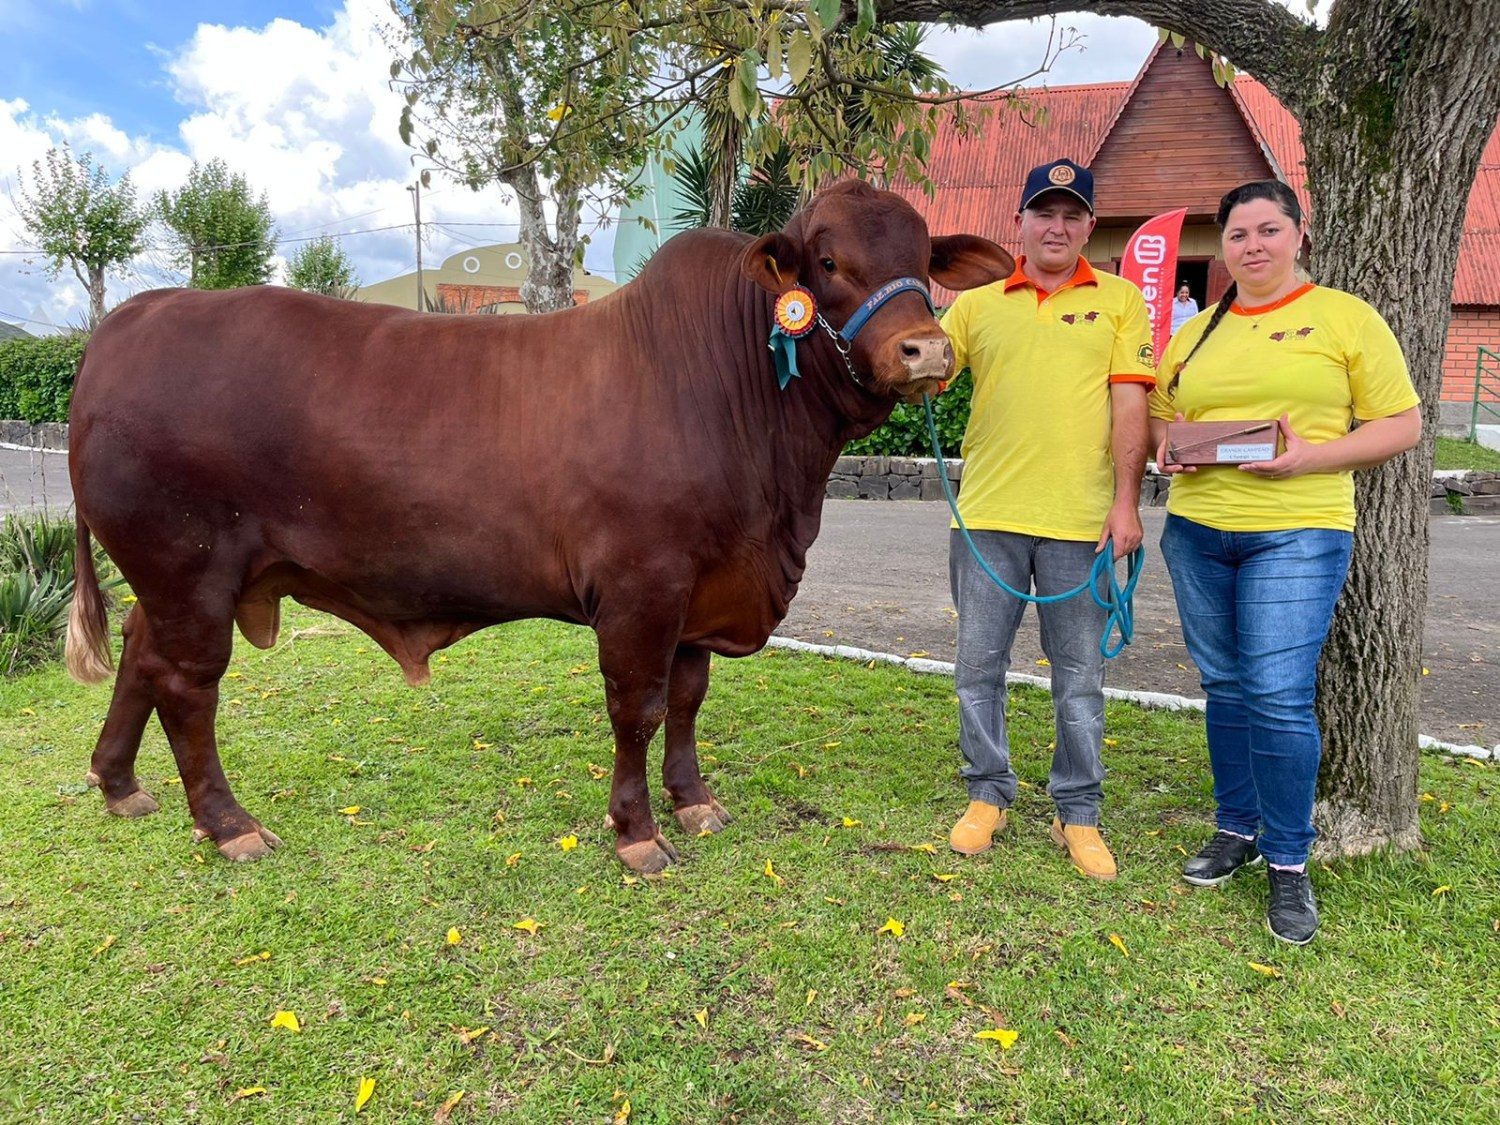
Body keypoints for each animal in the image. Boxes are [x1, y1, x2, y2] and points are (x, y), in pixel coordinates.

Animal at [64, 183, 1014, 870]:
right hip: (190, 567)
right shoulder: (642, 584)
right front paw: (637, 832)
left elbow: (689, 698)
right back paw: (229, 824)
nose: (927, 351)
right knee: (188, 685)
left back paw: (119, 784)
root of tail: (129, 320)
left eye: (923, 259)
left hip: (171, 576)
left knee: (140, 656)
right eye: (826, 259)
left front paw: (695, 801)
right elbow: (637, 703)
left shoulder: (703, 589)